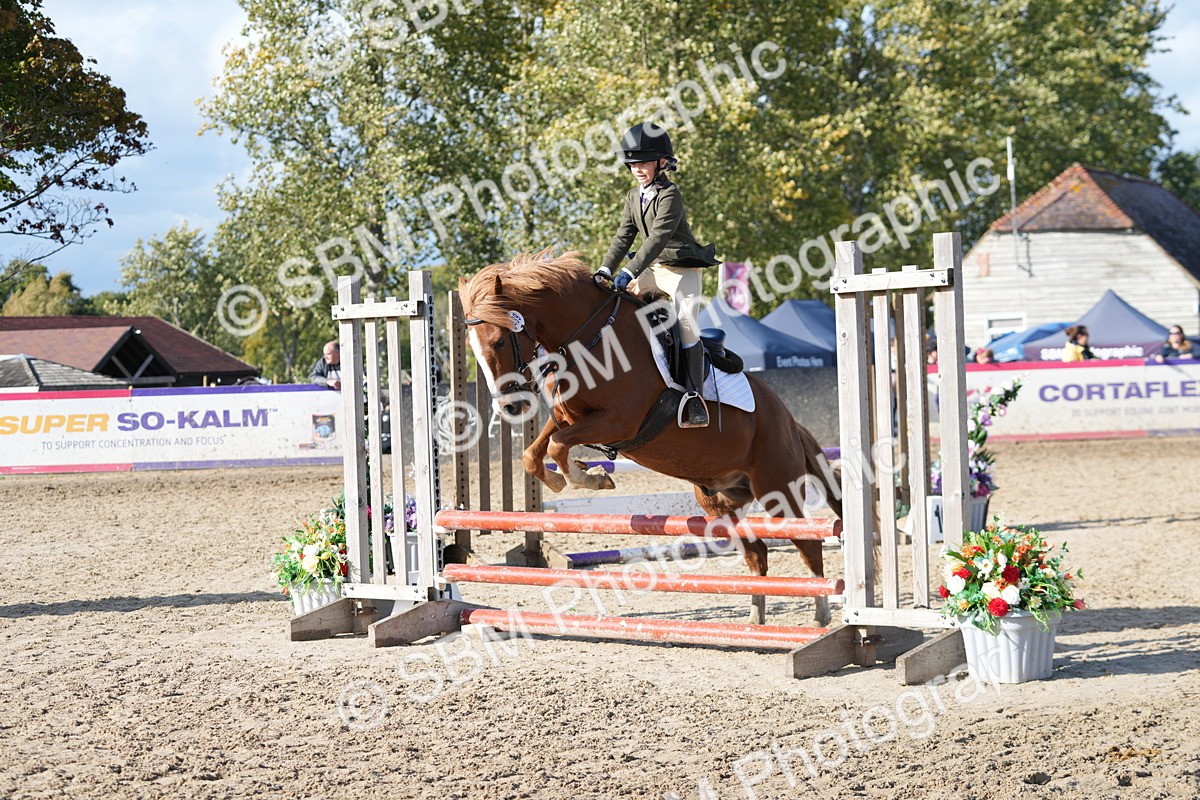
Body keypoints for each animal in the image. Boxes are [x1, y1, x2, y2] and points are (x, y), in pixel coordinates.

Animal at [459, 250, 844, 626]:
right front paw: (571, 478)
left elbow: (556, 447)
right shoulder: (569, 417)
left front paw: (590, 478)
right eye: (472, 348)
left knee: (808, 544)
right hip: (721, 502)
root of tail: (789, 421)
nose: (511, 405)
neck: (588, 339)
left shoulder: (618, 421)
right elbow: (535, 453)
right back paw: (755, 619)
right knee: (757, 553)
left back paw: (821, 616)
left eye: (498, 340)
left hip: (778, 489)